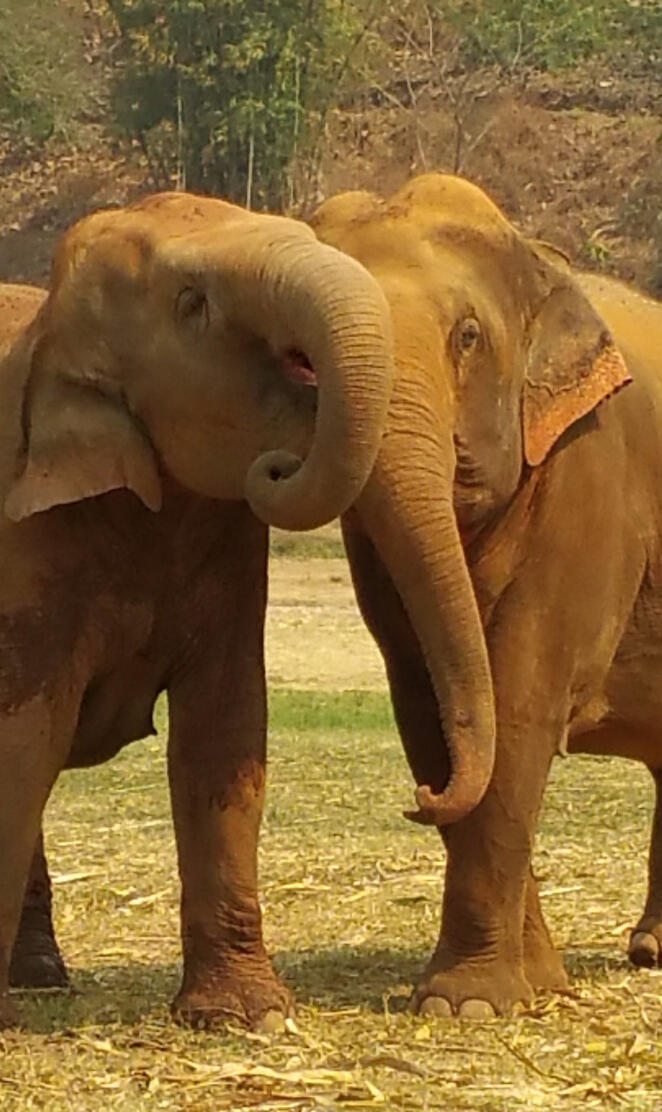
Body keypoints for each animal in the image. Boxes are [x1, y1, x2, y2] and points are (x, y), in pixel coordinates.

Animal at [0, 190, 395, 1031]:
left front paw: (246, 1017)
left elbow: (224, 726)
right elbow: (25, 737)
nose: (275, 464)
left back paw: (42, 977)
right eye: (193, 304)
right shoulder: (21, 532)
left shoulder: (229, 547)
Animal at [304, 172, 662, 1017]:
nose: (418, 798)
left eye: (466, 337)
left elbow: (521, 702)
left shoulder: (589, 475)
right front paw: (533, 987)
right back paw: (648, 950)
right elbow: (434, 707)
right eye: (302, 362)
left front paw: (465, 1004)